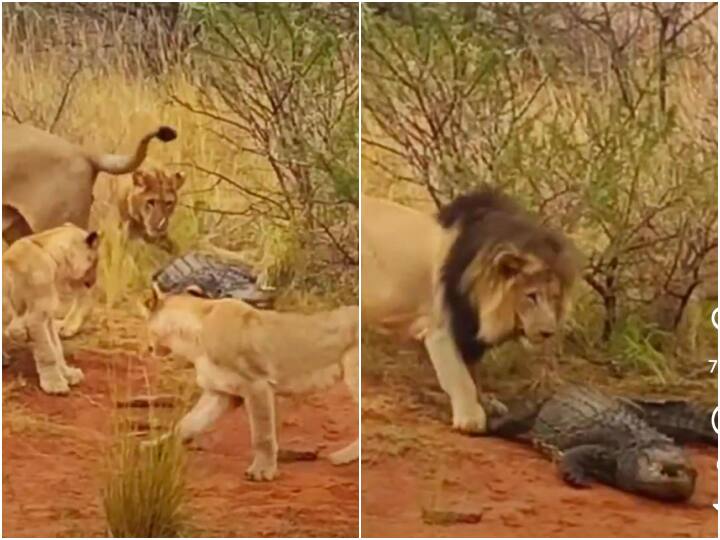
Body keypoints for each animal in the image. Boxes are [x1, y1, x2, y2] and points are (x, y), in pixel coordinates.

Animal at [2, 223, 101, 394]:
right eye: (95, 262)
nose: (93, 283)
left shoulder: (47, 317)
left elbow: (57, 348)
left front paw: (69, 374)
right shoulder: (35, 318)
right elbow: (48, 353)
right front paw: (55, 385)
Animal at [143, 285, 358, 481]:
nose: (148, 348)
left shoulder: (256, 383)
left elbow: (262, 434)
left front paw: (262, 472)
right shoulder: (220, 392)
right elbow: (188, 423)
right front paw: (156, 446)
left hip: (356, 375)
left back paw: (343, 457)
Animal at [361, 187, 581, 434]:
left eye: (555, 298)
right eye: (531, 295)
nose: (548, 332)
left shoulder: (471, 335)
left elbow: (474, 375)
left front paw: (488, 404)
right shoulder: (442, 329)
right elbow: (461, 378)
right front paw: (471, 419)